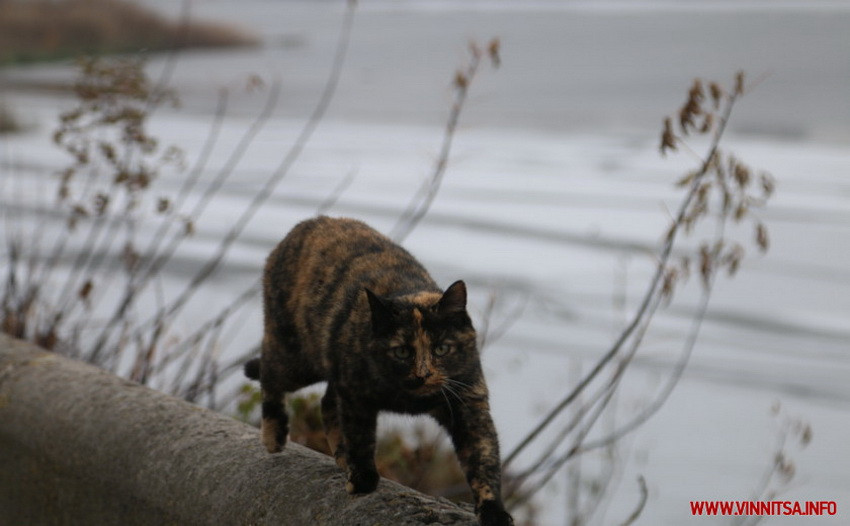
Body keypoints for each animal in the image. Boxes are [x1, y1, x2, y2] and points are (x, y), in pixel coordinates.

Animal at [242, 217, 512, 524]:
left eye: (442, 348)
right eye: (402, 351)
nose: (423, 374)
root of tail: (311, 222)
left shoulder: (468, 402)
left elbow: (483, 457)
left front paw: (494, 511)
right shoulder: (356, 396)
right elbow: (361, 438)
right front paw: (362, 480)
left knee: (327, 403)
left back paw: (340, 455)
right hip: (296, 359)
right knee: (270, 373)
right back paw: (274, 435)